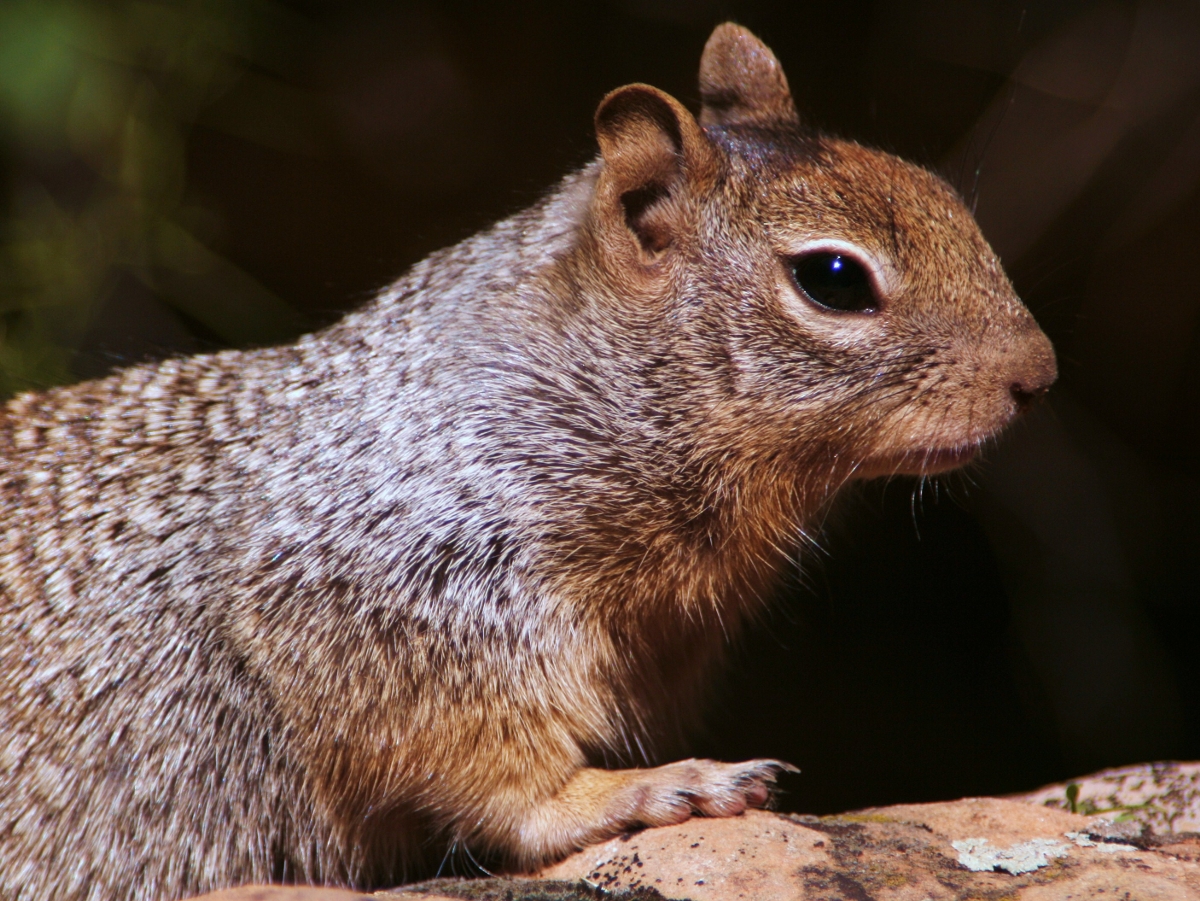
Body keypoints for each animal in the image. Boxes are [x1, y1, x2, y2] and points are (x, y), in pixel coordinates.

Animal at [0, 21, 1051, 901]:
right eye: (832, 278)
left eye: (941, 193)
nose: (1038, 374)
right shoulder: (404, 592)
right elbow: (504, 779)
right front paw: (653, 788)